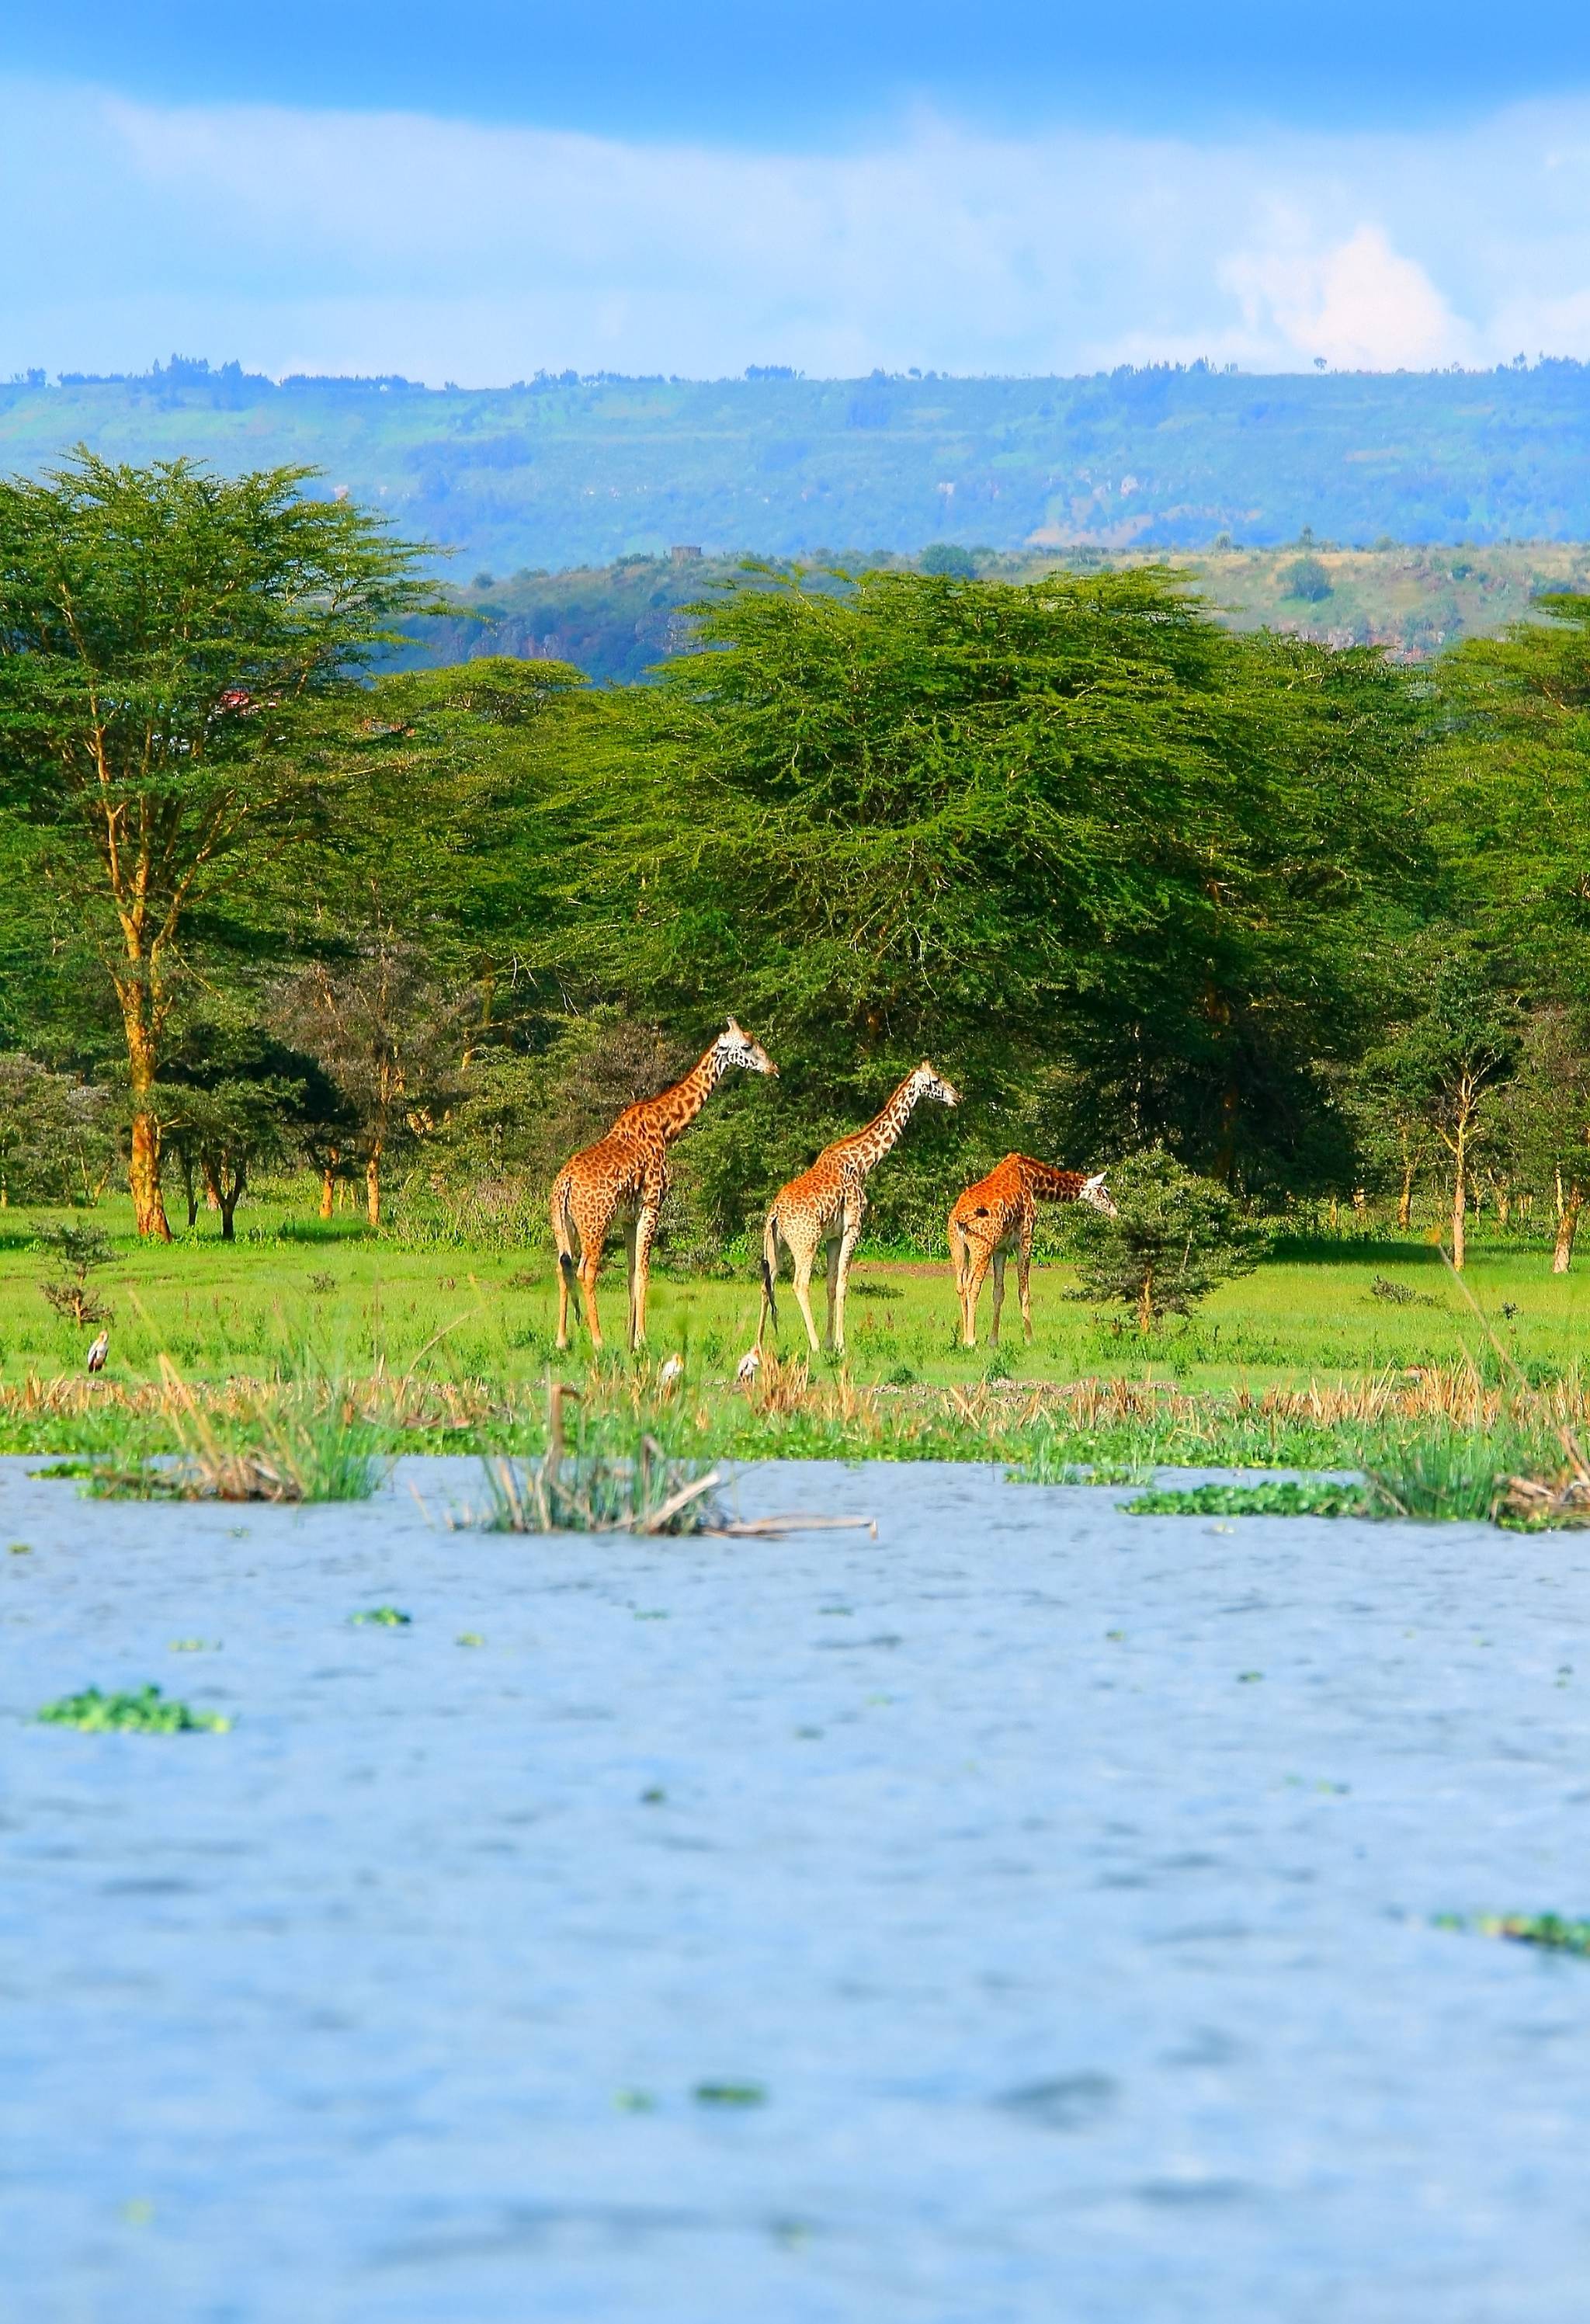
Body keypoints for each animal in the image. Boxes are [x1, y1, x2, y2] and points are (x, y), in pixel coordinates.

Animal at [548, 1027, 781, 1357]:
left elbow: (632, 1273)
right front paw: (641, 1340)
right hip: (596, 1223)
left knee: (562, 1269)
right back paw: (597, 1341)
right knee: (586, 1271)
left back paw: (561, 1340)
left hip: (562, 1223)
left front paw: (630, 1341)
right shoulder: (652, 1204)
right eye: (747, 1047)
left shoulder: (629, 1217)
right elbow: (644, 1273)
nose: (774, 1068)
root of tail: (564, 1183)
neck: (666, 1126)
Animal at [753, 1064, 957, 1357]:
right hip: (806, 1243)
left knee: (765, 1283)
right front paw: (839, 1345)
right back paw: (814, 1345)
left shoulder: (833, 1236)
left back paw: (758, 1345)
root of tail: (775, 1213)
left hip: (775, 1246)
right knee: (800, 1284)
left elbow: (830, 1284)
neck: (862, 1164)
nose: (956, 1097)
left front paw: (831, 1341)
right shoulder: (853, 1228)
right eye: (936, 1080)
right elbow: (842, 1284)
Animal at [943, 1157, 1116, 1357]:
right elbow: (1023, 1291)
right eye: (1105, 1191)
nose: (1115, 1212)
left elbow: (998, 1292)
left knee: (961, 1286)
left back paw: (964, 1339)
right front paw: (1029, 1339)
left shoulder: (1000, 1249)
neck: (1033, 1180)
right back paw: (971, 1341)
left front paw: (993, 1341)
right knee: (973, 1287)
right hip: (981, 1248)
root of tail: (959, 1218)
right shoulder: (1025, 1240)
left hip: (958, 1248)